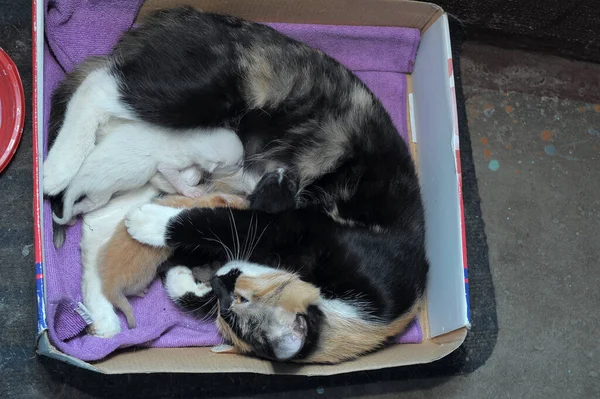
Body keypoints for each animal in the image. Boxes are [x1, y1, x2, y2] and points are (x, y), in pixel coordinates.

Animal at [45, 6, 432, 364]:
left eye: (234, 300)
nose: (219, 278)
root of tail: (180, 16)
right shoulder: (307, 227)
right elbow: (219, 223)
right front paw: (153, 224)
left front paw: (179, 272)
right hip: (205, 88)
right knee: (100, 84)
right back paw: (57, 168)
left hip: (136, 172)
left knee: (96, 229)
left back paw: (103, 316)